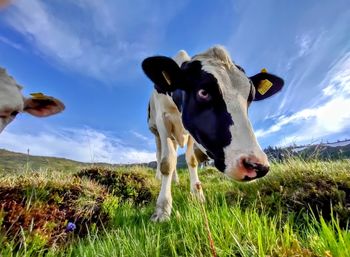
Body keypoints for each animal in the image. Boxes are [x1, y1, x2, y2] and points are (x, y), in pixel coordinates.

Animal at [143, 45, 284, 220]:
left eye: (250, 98)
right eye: (203, 92)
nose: (257, 166)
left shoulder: (192, 132)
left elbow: (191, 160)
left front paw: (198, 196)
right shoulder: (163, 121)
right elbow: (167, 162)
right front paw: (162, 209)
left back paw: (175, 180)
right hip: (155, 131)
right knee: (160, 154)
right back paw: (159, 178)